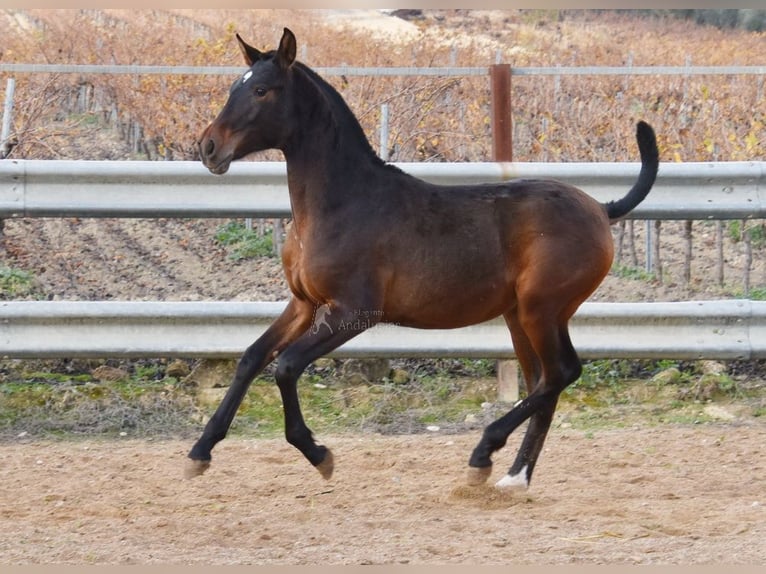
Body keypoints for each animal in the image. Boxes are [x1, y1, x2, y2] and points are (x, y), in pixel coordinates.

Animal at [188, 28, 660, 490]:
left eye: (262, 90)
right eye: (235, 86)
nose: (208, 147)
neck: (342, 202)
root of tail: (601, 208)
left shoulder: (353, 312)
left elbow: (285, 367)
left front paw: (319, 453)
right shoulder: (304, 304)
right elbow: (252, 357)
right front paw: (200, 451)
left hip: (541, 309)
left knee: (561, 372)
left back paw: (484, 454)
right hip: (521, 316)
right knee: (543, 380)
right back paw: (513, 478)